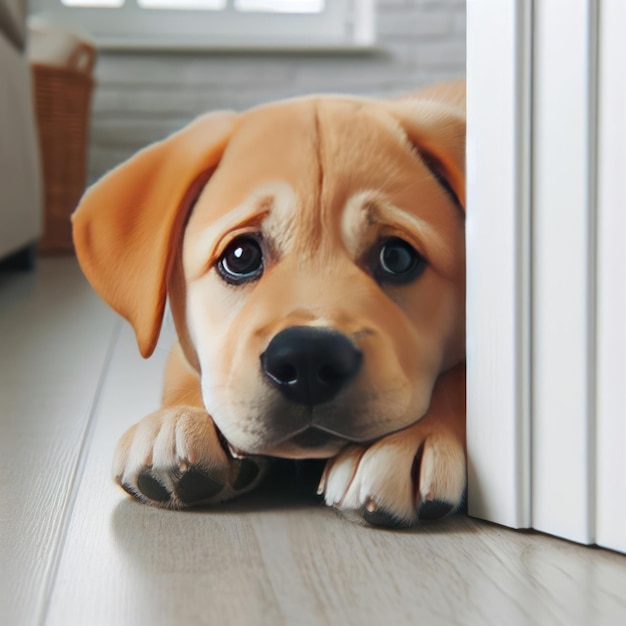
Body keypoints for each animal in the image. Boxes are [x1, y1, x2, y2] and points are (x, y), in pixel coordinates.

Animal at [72, 80, 464, 524]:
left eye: (396, 258)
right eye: (240, 256)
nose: (308, 358)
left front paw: (410, 440)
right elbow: (193, 368)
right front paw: (178, 421)